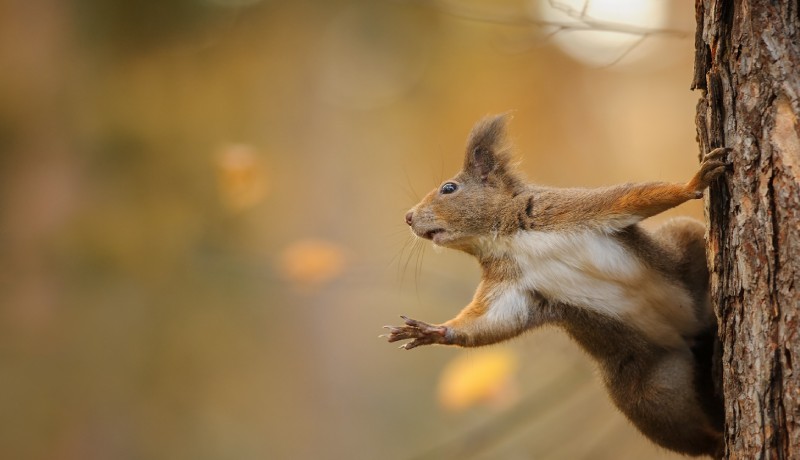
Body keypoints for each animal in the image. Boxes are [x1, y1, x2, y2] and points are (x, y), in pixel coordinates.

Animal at [384, 114, 728, 456]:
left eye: (449, 188)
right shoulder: (509, 286)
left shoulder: (567, 209)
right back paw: (717, 440)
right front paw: (432, 331)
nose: (408, 217)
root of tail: (690, 335)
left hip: (683, 243)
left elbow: (630, 197)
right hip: (650, 391)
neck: (505, 238)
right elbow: (491, 321)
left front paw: (693, 183)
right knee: (686, 432)